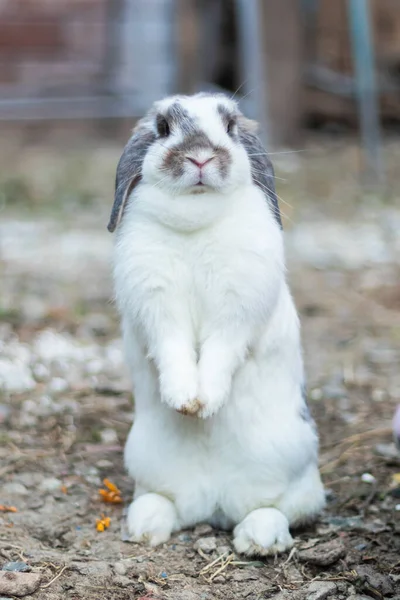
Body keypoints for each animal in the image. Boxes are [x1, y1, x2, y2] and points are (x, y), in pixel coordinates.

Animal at [108, 94, 324, 556]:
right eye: (163, 127)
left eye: (229, 127)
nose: (200, 157)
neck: (196, 216)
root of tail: (216, 503)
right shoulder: (158, 307)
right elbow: (173, 349)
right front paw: (184, 401)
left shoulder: (237, 310)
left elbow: (221, 351)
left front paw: (205, 403)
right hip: (148, 463)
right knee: (164, 501)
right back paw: (145, 527)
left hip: (290, 467)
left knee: (278, 509)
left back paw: (258, 540)